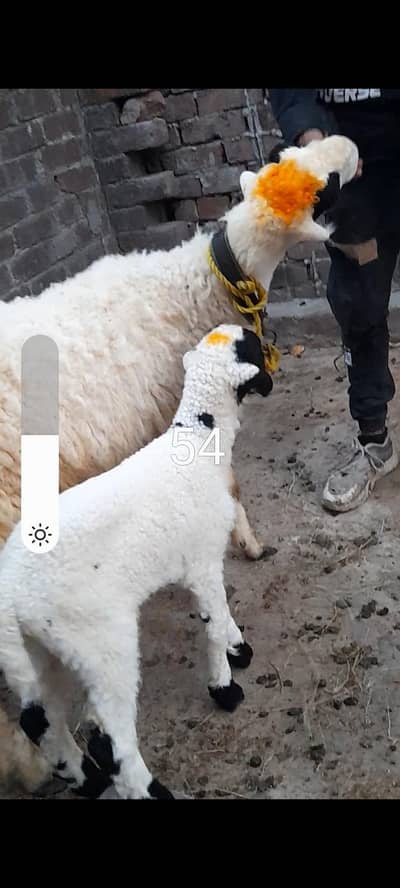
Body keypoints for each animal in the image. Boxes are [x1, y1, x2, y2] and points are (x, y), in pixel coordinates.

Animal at [0, 324, 274, 799]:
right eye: (255, 349)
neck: (199, 441)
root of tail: (11, 591)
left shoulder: (194, 562)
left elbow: (216, 613)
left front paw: (237, 648)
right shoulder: (203, 558)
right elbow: (214, 621)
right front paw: (225, 681)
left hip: (34, 649)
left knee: (41, 720)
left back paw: (83, 777)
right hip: (99, 639)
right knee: (110, 737)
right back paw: (147, 790)